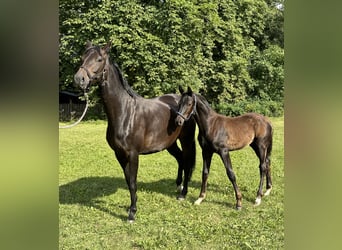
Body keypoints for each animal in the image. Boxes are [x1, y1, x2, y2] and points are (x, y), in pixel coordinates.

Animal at [73, 42, 195, 222]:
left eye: (99, 59)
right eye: (82, 57)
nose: (79, 79)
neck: (125, 112)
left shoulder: (133, 154)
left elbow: (133, 181)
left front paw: (132, 212)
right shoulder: (119, 154)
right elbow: (128, 181)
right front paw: (132, 205)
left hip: (186, 140)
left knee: (187, 162)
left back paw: (183, 193)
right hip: (170, 144)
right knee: (180, 159)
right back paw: (178, 186)